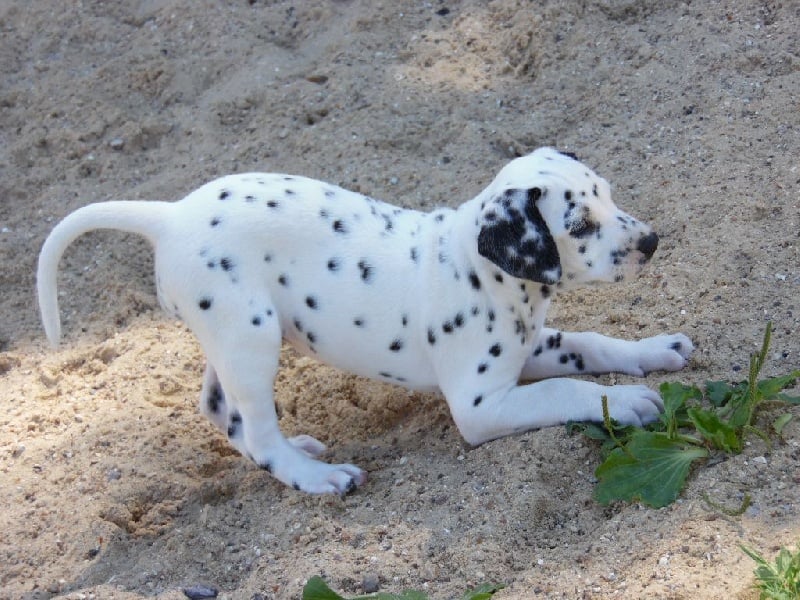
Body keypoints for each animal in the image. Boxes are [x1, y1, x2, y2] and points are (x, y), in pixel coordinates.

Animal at [38, 148, 693, 495]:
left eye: (608, 192)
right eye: (579, 224)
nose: (652, 242)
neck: (478, 265)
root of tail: (169, 216)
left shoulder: (531, 347)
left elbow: (593, 345)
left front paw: (654, 349)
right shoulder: (481, 404)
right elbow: (568, 388)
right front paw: (627, 402)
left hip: (230, 337)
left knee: (223, 410)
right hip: (250, 336)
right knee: (258, 431)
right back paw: (313, 473)